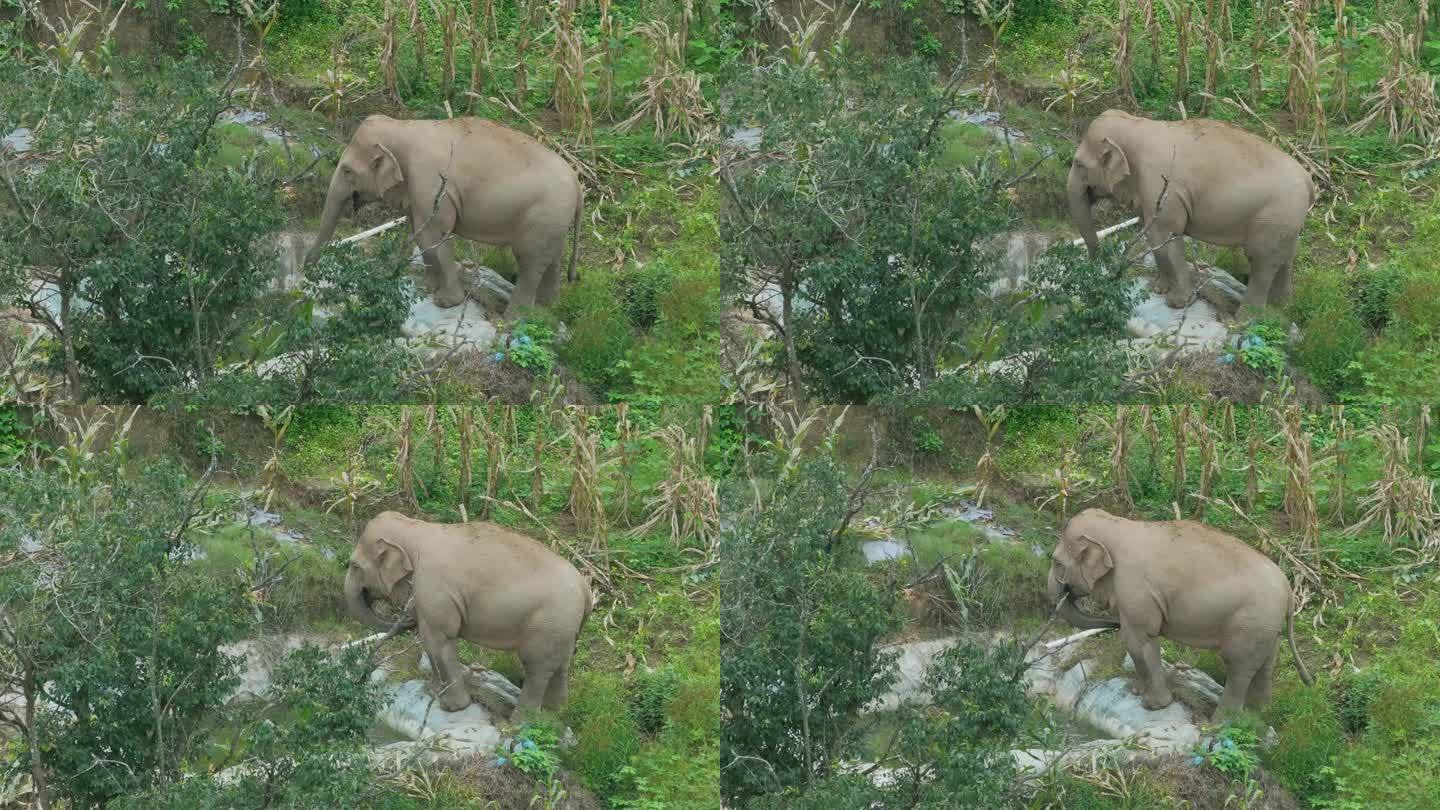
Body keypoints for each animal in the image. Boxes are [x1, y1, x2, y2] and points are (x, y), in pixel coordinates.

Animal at [306, 115, 581, 317]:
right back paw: (546, 308)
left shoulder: (430, 181)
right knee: (552, 259)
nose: (308, 271)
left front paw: (445, 302)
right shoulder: (417, 189)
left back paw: (514, 319)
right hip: (554, 222)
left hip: (543, 217)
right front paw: (422, 285)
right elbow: (418, 231)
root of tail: (578, 181)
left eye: (347, 170)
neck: (403, 126)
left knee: (530, 262)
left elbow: (435, 235)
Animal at [345, 510, 593, 711]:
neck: (417, 528)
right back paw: (554, 713)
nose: (405, 615)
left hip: (549, 623)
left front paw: (452, 707)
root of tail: (586, 589)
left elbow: (437, 640)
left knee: (536, 668)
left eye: (355, 566)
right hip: (565, 628)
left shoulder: (434, 586)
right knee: (561, 664)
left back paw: (521, 723)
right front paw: (432, 690)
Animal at [1042, 507, 1313, 714]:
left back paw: (1221, 724)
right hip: (1267, 627)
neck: (1117, 524)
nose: (1112, 622)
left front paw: (1154, 705)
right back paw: (1257, 715)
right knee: (1266, 663)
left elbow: (1139, 641)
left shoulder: (1136, 590)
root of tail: (1290, 593)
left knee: (1238, 667)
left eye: (1056, 562)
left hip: (1251, 623)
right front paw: (1136, 691)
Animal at [1071, 107, 1319, 308]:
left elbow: (1167, 236)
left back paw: (1245, 320)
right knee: (1287, 257)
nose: (1098, 268)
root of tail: (1309, 181)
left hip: (1275, 217)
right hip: (1288, 222)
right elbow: (1153, 236)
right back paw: (1281, 308)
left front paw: (1176, 302)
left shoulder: (1162, 186)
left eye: (1078, 164)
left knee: (1262, 262)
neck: (1137, 124)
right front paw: (1158, 289)